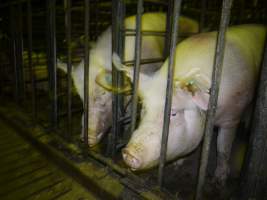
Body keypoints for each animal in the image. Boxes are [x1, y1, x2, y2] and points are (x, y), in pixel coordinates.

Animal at [113, 24, 267, 185]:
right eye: (143, 107)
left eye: (173, 113)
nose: (129, 153)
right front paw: (176, 164)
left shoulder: (231, 117)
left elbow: (223, 148)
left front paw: (219, 180)